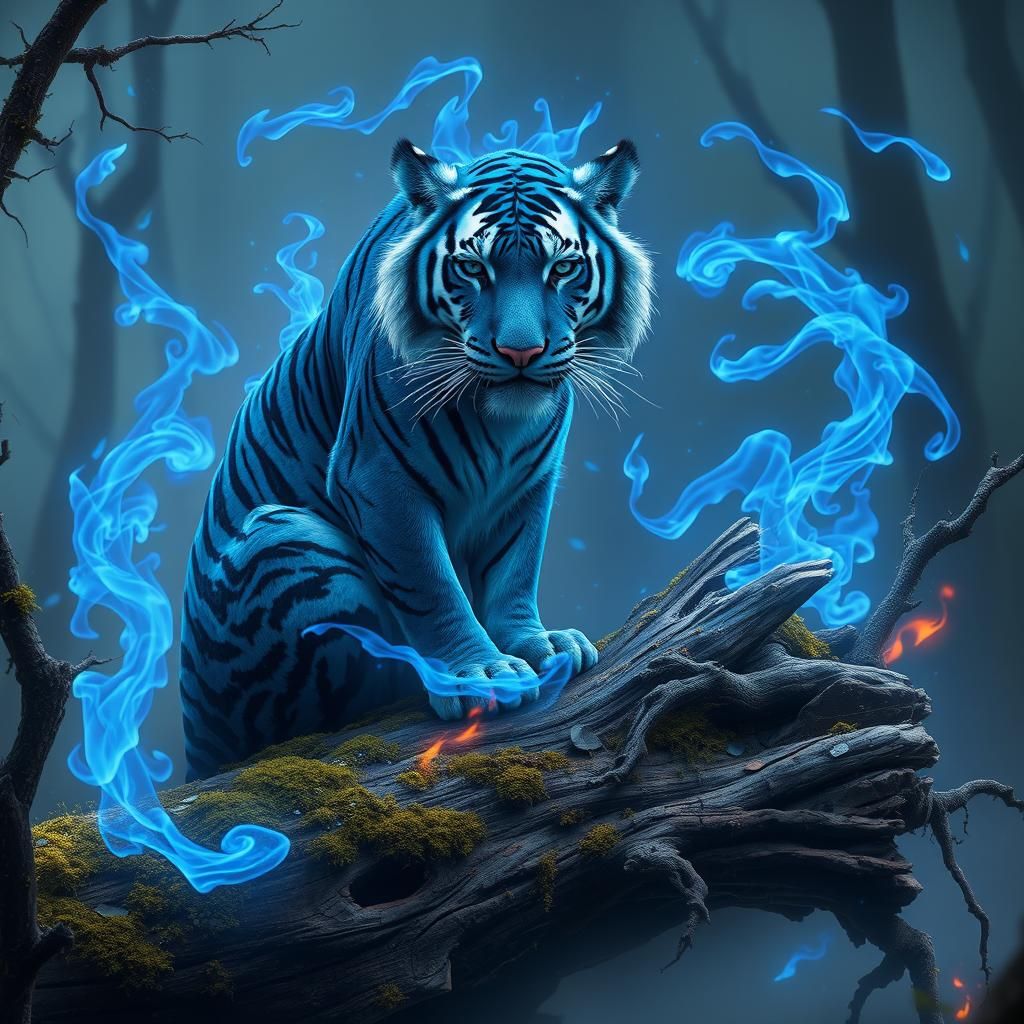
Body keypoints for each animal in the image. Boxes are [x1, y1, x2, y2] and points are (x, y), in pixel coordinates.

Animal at [180, 138, 654, 779]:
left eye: (562, 268)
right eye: (474, 269)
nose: (522, 352)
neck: (501, 423)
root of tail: (195, 743)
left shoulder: (529, 483)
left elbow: (515, 568)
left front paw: (537, 644)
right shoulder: (378, 479)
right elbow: (430, 584)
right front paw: (482, 672)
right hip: (282, 537)